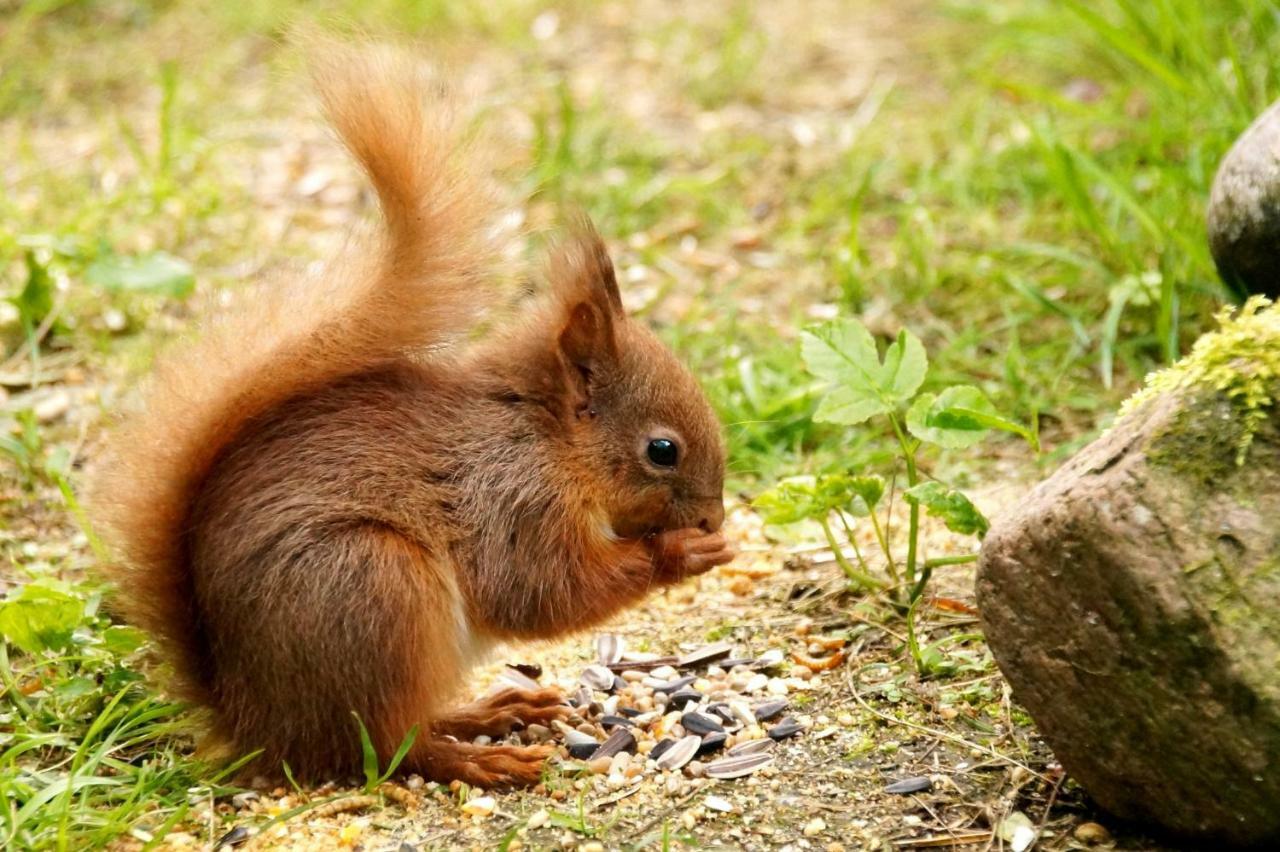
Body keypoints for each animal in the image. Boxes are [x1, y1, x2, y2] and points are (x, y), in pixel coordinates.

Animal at [87, 41, 732, 782]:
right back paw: (482, 760)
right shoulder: (514, 503)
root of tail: (253, 722)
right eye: (663, 451)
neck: (545, 438)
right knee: (387, 745)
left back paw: (491, 711)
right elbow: (542, 591)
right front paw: (683, 551)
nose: (715, 517)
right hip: (374, 587)